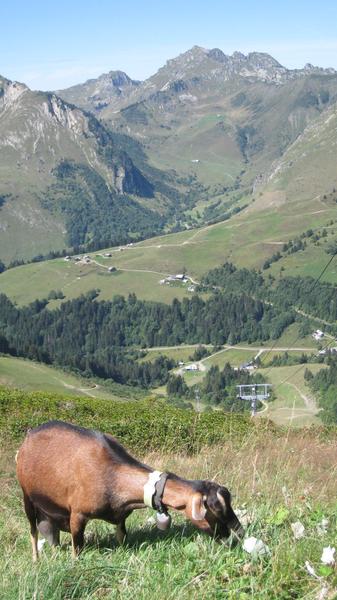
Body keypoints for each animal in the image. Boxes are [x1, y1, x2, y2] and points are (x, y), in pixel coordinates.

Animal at [15, 420, 243, 560]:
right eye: (215, 509)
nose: (238, 532)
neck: (112, 475)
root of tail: (28, 439)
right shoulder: (77, 515)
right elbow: (77, 547)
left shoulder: (121, 517)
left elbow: (122, 537)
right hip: (27, 496)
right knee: (33, 531)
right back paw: (36, 559)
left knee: (50, 532)